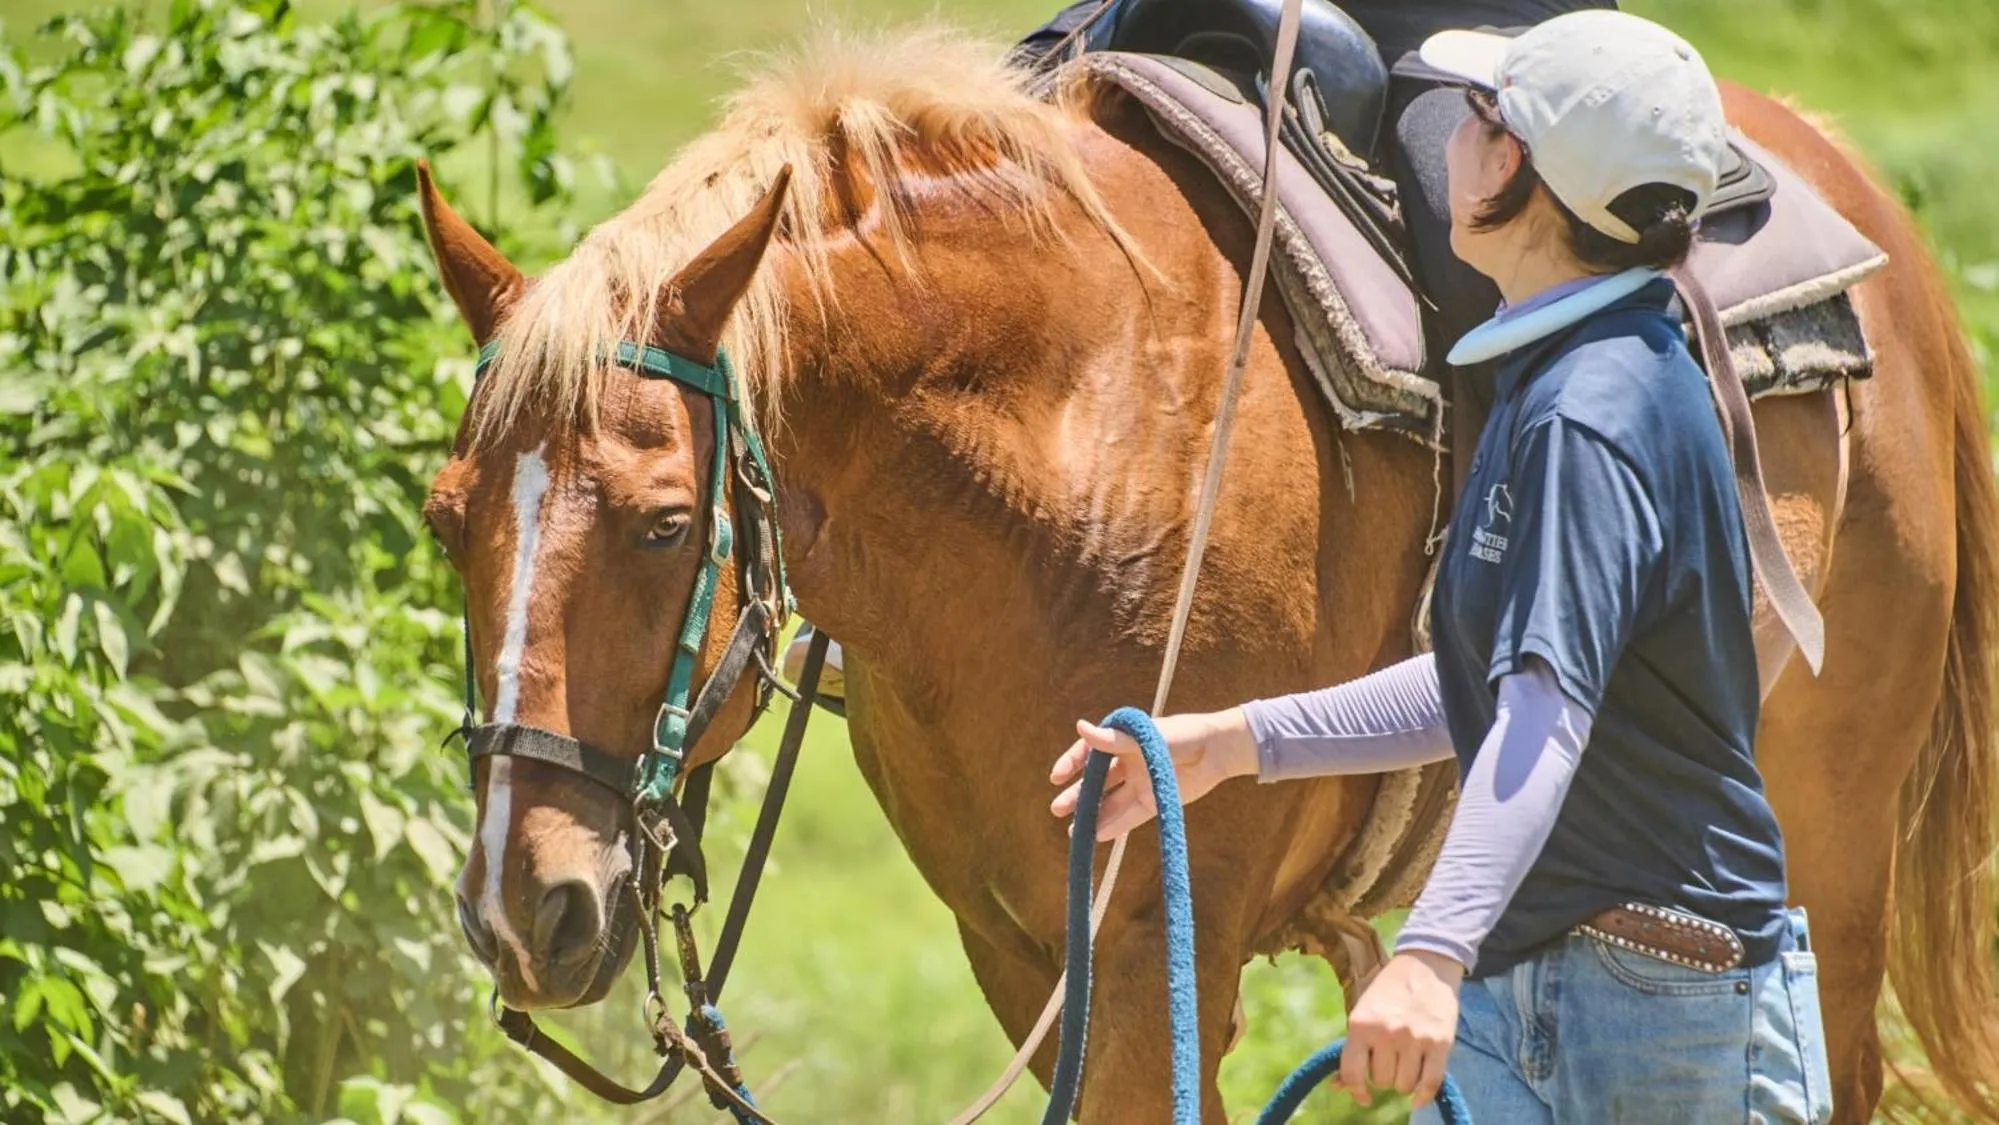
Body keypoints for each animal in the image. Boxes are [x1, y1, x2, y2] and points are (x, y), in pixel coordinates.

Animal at [415, 27, 1999, 1122]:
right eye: (444, 521)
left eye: (659, 525)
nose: (519, 906)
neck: (1079, 438)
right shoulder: (1022, 958)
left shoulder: (1147, 961)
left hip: (1823, 868)